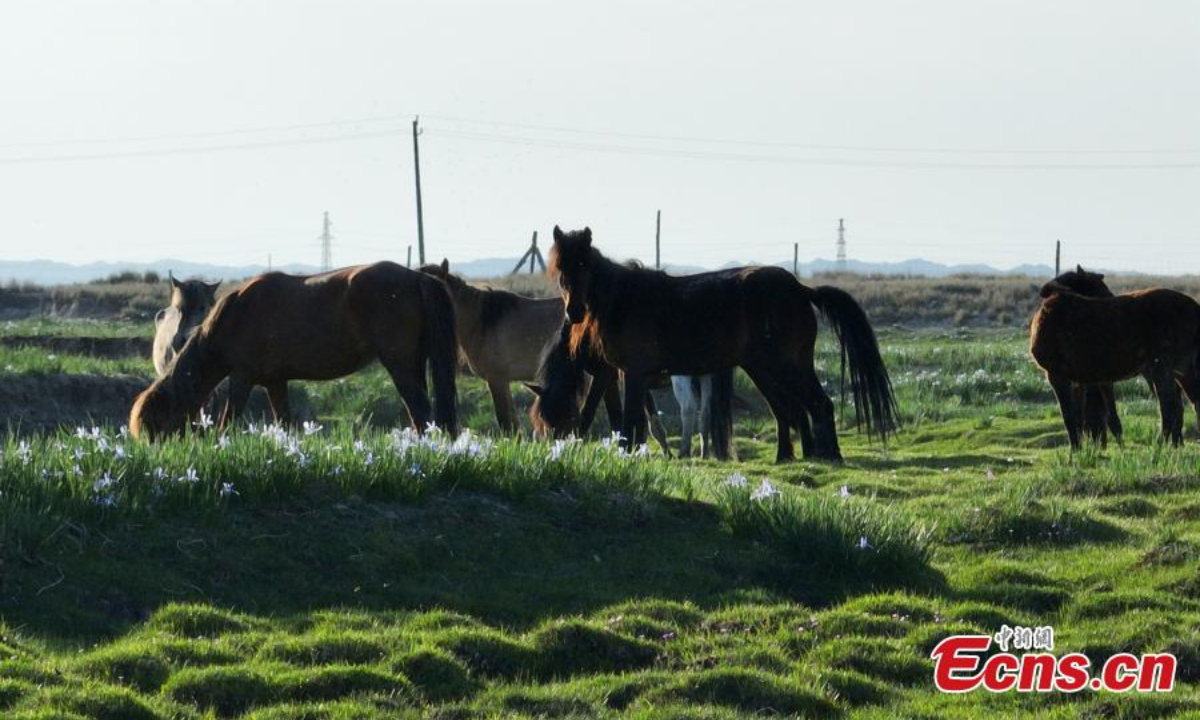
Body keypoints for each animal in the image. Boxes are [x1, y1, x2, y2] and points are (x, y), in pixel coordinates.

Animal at [130, 262, 457, 440]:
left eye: (154, 425)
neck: (235, 314)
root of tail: (417, 277)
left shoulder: (241, 378)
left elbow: (227, 421)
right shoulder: (275, 382)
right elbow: (285, 423)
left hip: (400, 365)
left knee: (420, 413)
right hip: (415, 364)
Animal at [527, 319, 673, 455]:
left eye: (569, 417)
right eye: (543, 418)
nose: (560, 448)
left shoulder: (605, 374)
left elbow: (588, 413)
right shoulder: (613, 377)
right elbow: (618, 416)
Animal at [549, 226, 898, 462]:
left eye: (583, 265)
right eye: (560, 268)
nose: (574, 311)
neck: (624, 300)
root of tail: (800, 288)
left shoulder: (633, 374)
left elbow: (629, 422)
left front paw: (628, 456)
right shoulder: (626, 374)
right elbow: (632, 422)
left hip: (786, 366)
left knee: (818, 405)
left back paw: (829, 457)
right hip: (764, 368)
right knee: (788, 410)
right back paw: (790, 457)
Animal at [1032, 270, 1200, 448]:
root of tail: (1195, 308)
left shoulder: (1056, 375)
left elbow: (1070, 417)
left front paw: (1076, 450)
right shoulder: (1080, 381)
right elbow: (1080, 419)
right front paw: (1084, 449)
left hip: (1162, 369)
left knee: (1169, 407)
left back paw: (1159, 445)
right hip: (1182, 370)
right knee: (1190, 403)